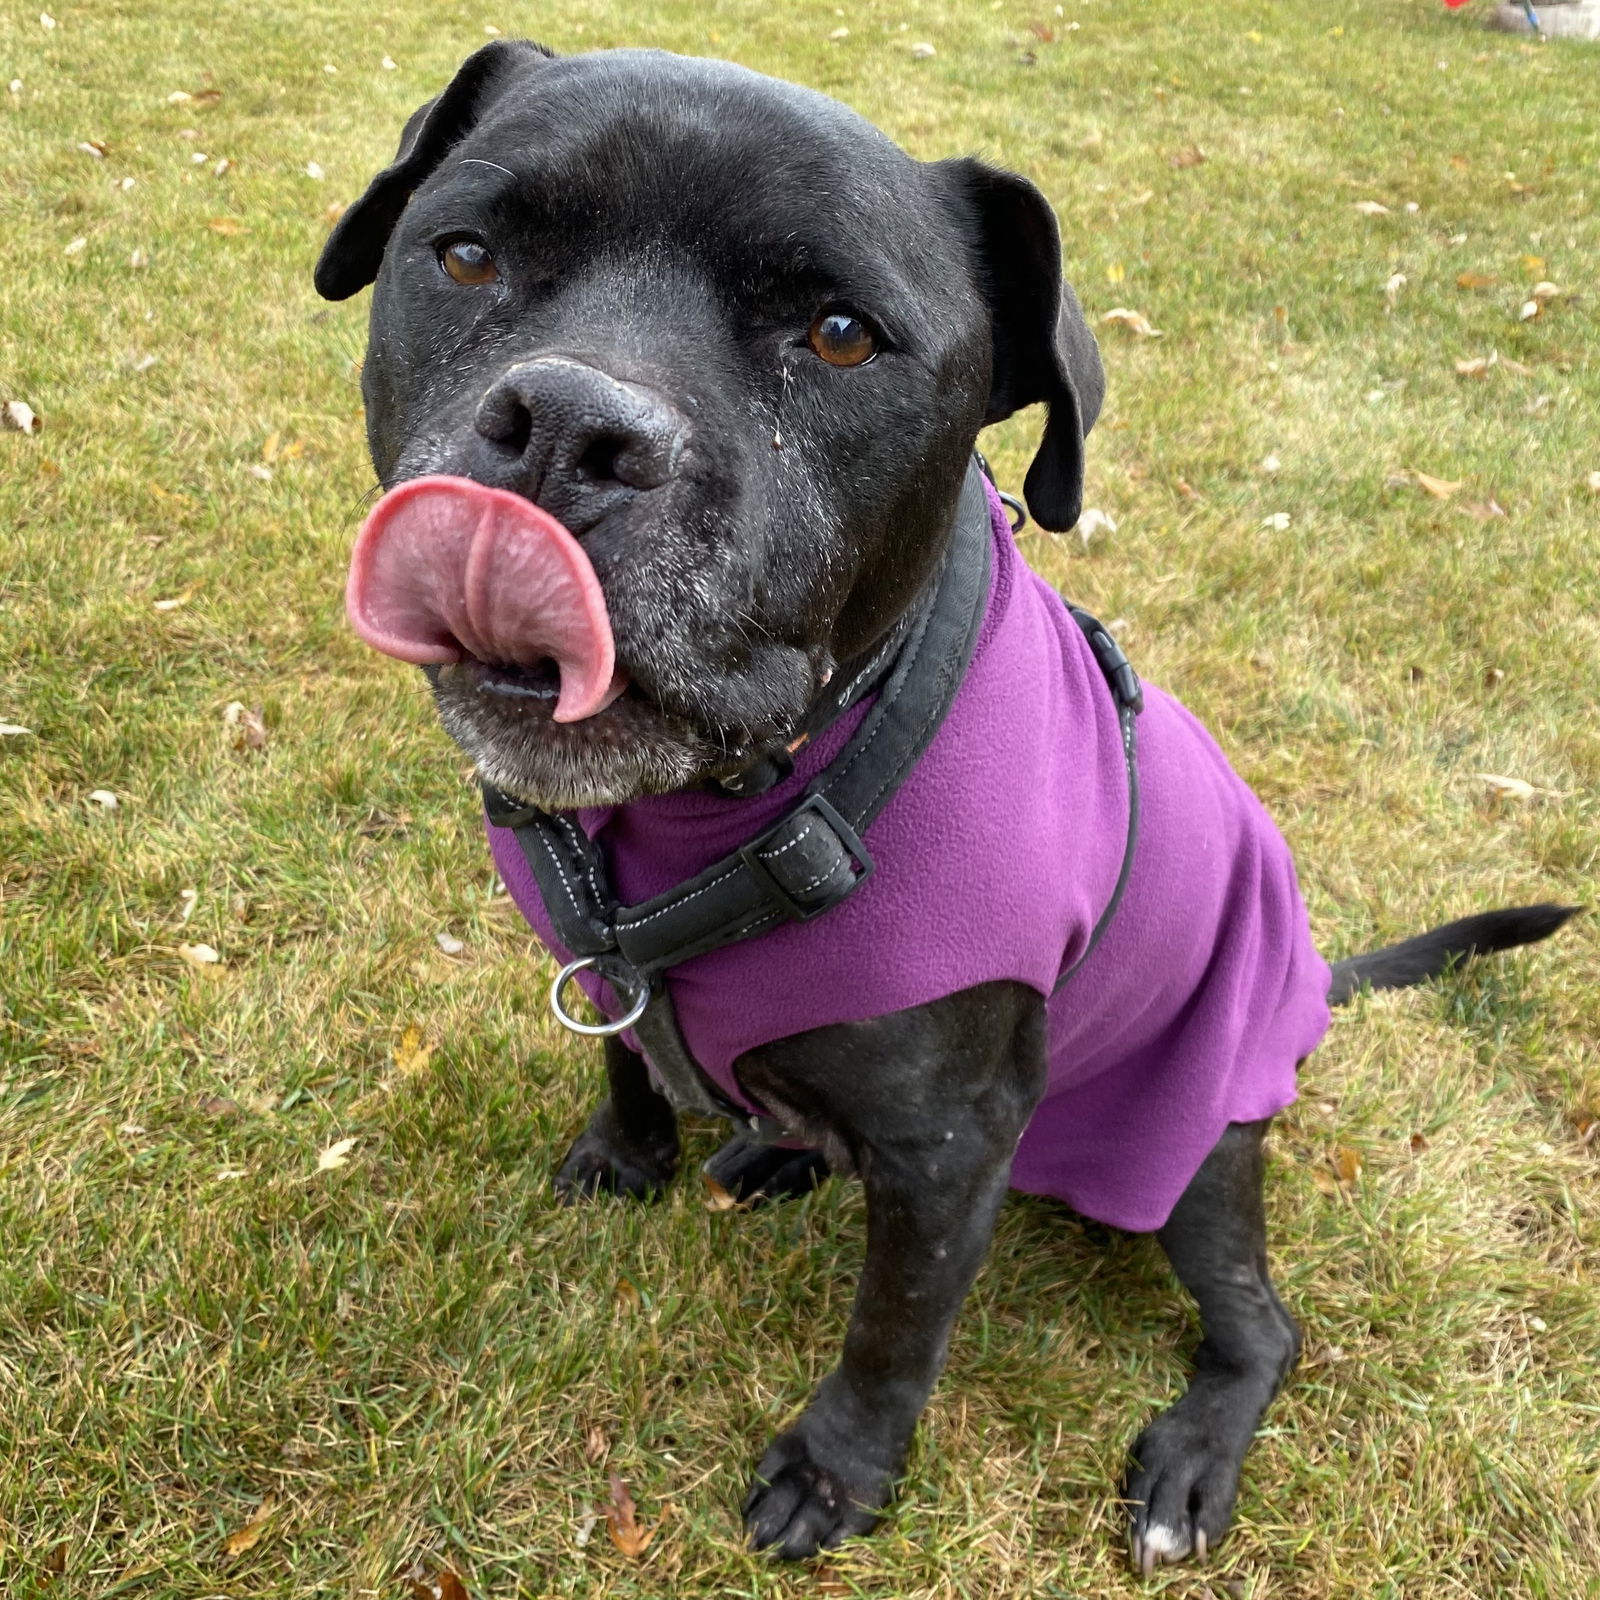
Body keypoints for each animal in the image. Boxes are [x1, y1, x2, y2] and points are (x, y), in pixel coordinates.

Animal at [315, 43, 1574, 1568]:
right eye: (467, 254)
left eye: (843, 337)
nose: (570, 425)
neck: (728, 808)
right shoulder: (605, 963)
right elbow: (623, 1049)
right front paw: (626, 1154)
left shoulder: (950, 1152)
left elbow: (893, 1331)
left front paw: (837, 1473)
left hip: (1202, 1150)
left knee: (1265, 1324)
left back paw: (1192, 1459)